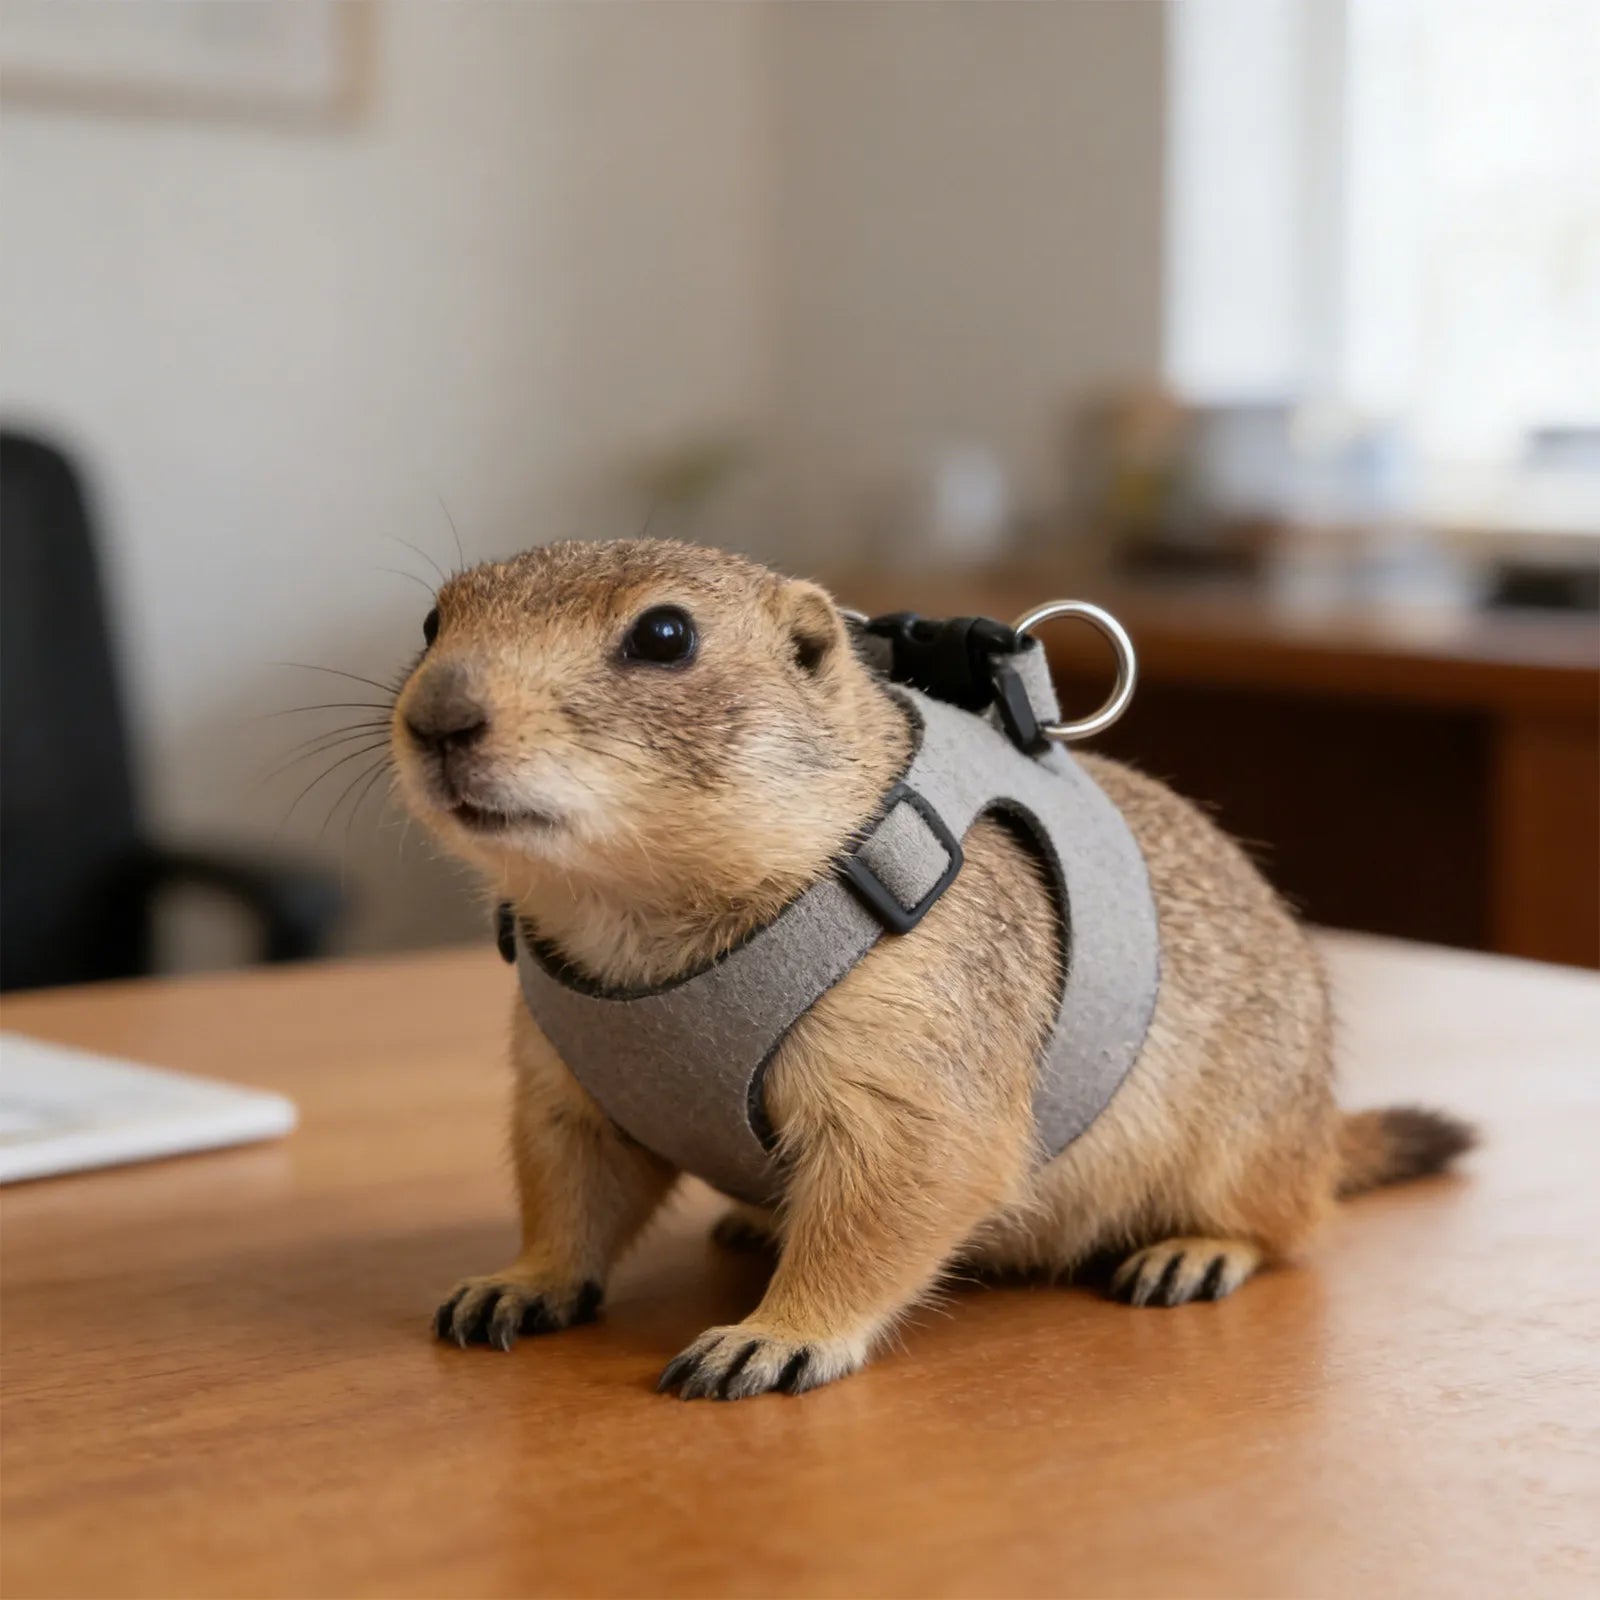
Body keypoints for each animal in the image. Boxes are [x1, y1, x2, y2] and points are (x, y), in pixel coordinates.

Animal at [391, 538, 1474, 1400]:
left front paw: (772, 1337)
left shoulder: (914, 1036)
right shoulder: (563, 1076)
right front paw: (519, 1282)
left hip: (1248, 1139)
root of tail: (1319, 1129)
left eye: (664, 636)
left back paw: (1193, 1252)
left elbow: (901, 1185)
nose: (437, 715)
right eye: (433, 620)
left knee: (1292, 1224)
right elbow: (569, 1183)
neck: (633, 930)